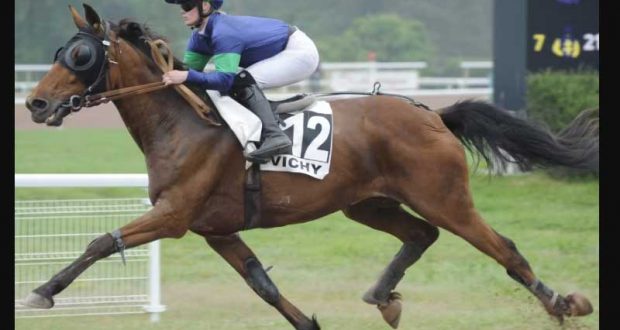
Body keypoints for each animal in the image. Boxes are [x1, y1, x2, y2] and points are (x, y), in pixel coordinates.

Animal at [21, 5, 600, 330]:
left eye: (80, 56)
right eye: (59, 51)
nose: (35, 104)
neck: (179, 124)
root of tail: (433, 114)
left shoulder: (175, 215)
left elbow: (101, 242)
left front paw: (41, 293)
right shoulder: (216, 229)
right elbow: (264, 286)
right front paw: (311, 323)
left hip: (444, 196)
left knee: (504, 249)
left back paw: (563, 305)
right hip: (367, 204)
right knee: (421, 235)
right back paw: (382, 297)